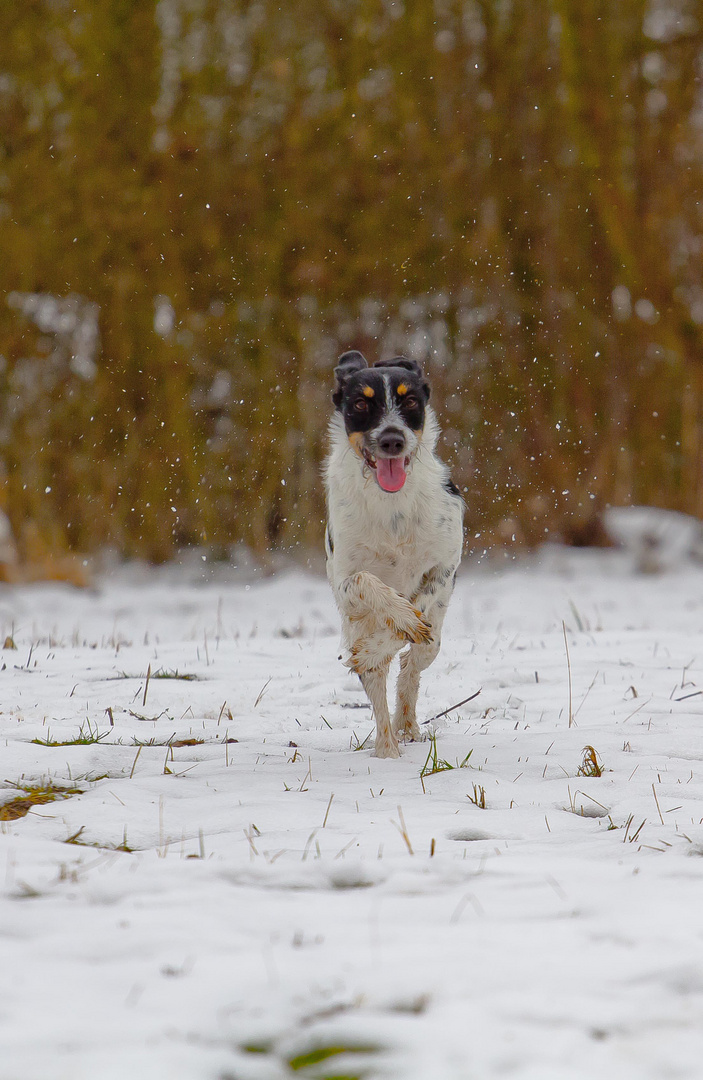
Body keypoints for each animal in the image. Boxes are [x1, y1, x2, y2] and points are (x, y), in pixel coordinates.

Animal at [326, 349, 466, 756]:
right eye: (360, 403)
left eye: (410, 401)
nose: (392, 440)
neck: (392, 508)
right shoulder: (344, 579)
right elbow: (365, 582)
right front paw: (395, 619)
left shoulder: (445, 564)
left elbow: (416, 615)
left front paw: (399, 627)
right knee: (379, 695)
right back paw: (387, 749)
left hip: (434, 643)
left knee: (411, 668)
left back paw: (408, 726)